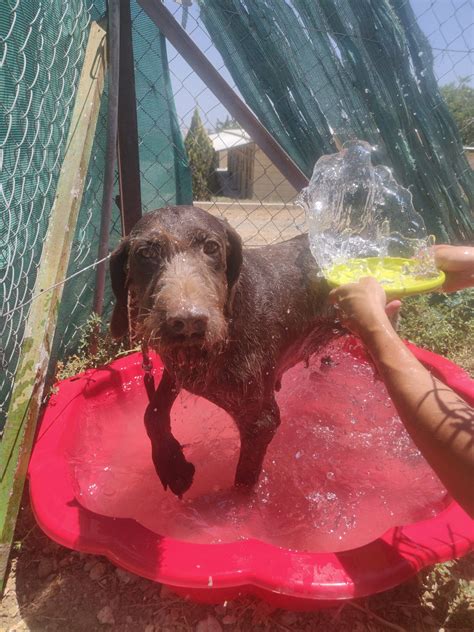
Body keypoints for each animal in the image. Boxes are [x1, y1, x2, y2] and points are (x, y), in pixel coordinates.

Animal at [110, 205, 336, 496]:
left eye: (211, 247)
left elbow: (243, 483)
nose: (188, 322)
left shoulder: (261, 422)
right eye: (146, 253)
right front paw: (172, 464)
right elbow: (153, 412)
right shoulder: (177, 368)